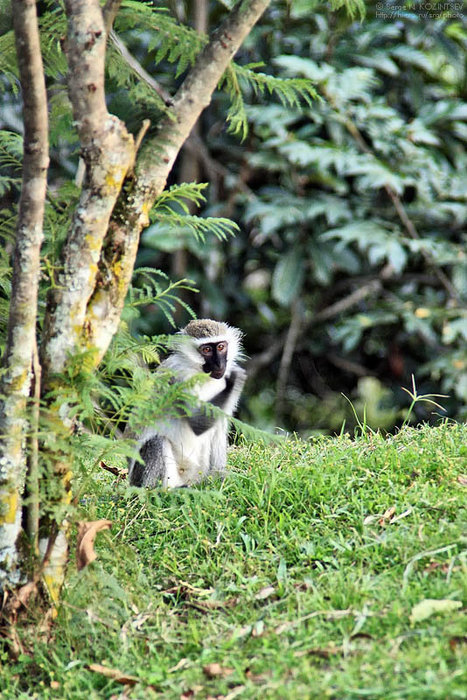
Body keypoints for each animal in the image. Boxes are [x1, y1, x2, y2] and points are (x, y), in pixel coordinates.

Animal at [127, 322, 245, 490]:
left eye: (221, 347)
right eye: (206, 350)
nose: (219, 364)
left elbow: (217, 429)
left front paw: (221, 479)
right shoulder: (180, 378)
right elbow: (196, 424)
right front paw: (234, 380)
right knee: (156, 442)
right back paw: (158, 491)